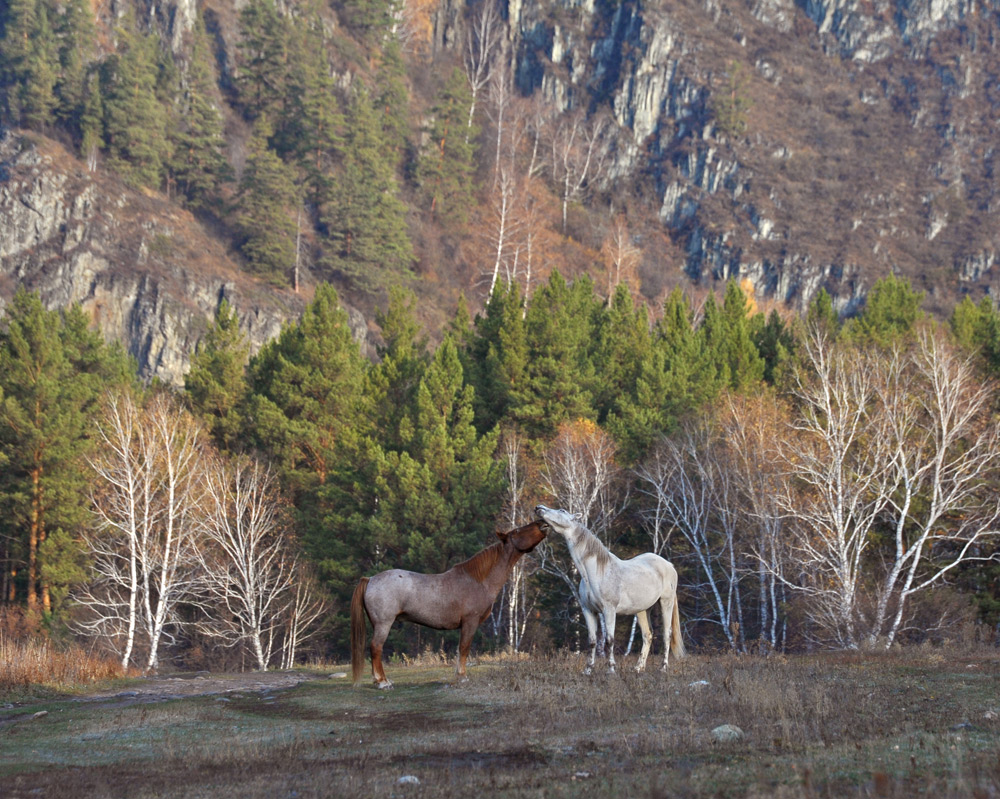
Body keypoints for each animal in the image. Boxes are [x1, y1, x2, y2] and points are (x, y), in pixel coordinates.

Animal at [348, 524, 544, 688]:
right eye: (517, 531)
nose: (541, 524)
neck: (477, 580)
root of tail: (370, 579)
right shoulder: (470, 622)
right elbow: (464, 648)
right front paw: (462, 677)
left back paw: (378, 680)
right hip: (384, 624)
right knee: (376, 647)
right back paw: (383, 682)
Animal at [536, 506, 684, 676]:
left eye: (562, 511)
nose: (539, 508)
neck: (596, 572)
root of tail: (668, 565)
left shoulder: (609, 610)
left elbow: (609, 640)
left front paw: (611, 669)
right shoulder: (588, 610)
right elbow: (592, 641)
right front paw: (588, 670)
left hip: (666, 602)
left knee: (667, 634)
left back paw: (663, 668)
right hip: (642, 609)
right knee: (647, 635)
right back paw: (638, 668)